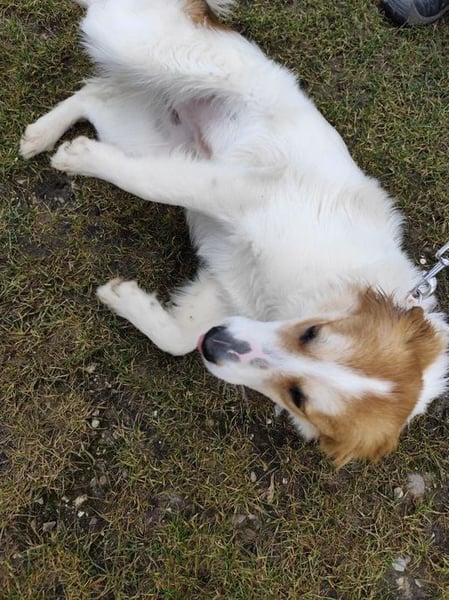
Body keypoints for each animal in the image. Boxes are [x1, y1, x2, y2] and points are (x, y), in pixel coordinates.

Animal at [20, 0, 448, 465]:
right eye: (313, 333)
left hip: (145, 132)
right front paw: (84, 159)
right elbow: (149, 182)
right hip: (134, 44)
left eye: (298, 397)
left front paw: (124, 298)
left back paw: (40, 135)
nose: (217, 343)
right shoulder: (238, 189)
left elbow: (176, 337)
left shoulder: (227, 288)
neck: (321, 285)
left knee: (96, 93)